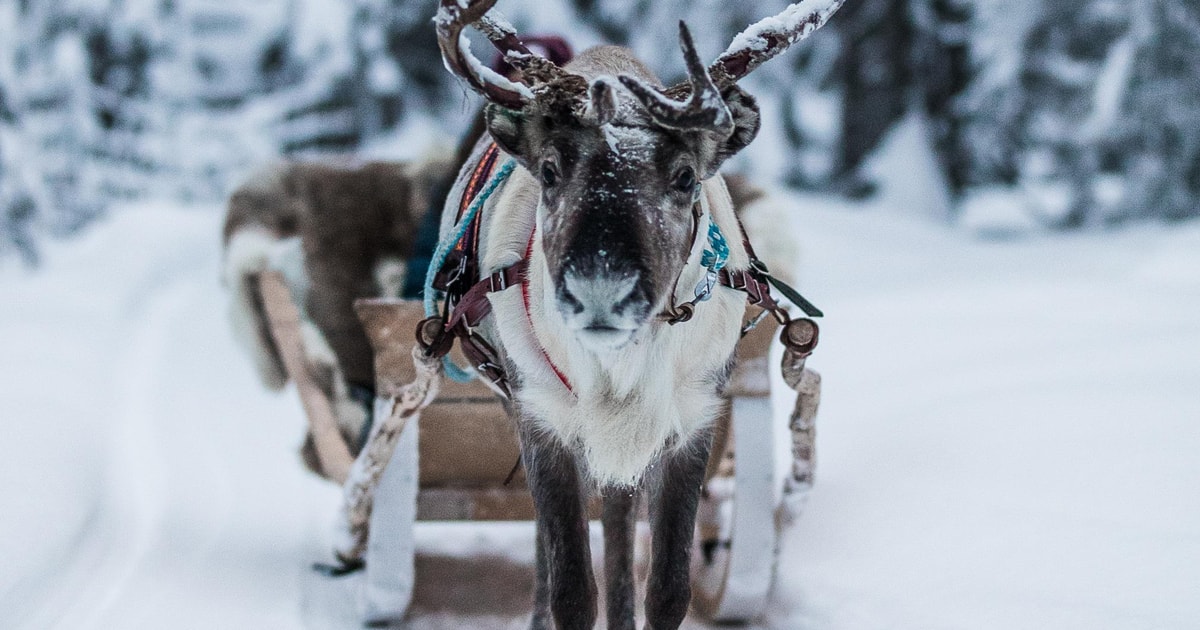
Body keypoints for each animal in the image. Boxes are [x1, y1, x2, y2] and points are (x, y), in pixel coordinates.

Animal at [428, 1, 844, 627]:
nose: (601, 291)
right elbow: (570, 588)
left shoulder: (691, 420)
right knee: (557, 543)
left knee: (621, 519)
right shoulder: (541, 417)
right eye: (549, 170)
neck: (620, 374)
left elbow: (669, 587)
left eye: (685, 175)